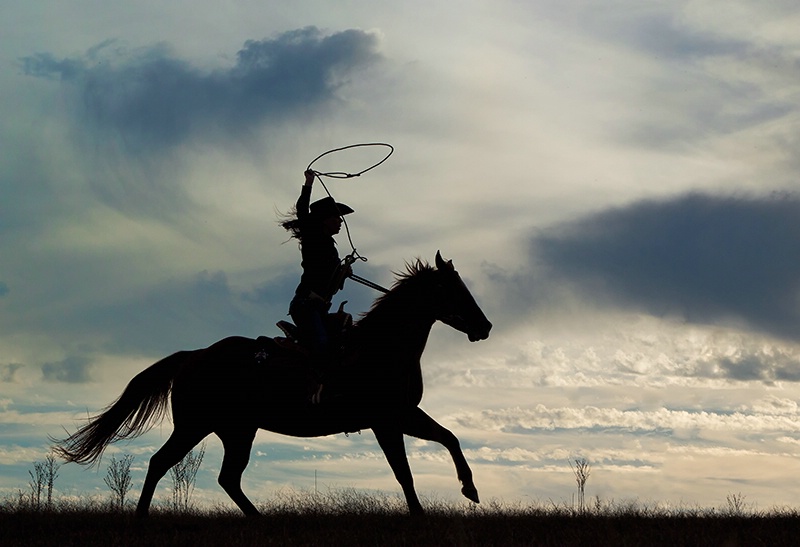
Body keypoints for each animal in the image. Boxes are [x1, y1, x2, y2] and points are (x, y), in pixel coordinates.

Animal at [54, 253, 488, 520]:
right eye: (454, 289)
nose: (485, 327)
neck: (381, 348)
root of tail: (194, 355)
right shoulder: (385, 421)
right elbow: (404, 473)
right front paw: (421, 513)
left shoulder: (403, 415)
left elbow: (449, 438)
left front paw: (470, 489)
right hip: (195, 426)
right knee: (162, 463)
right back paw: (143, 518)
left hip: (236, 431)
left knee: (226, 477)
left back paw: (258, 519)